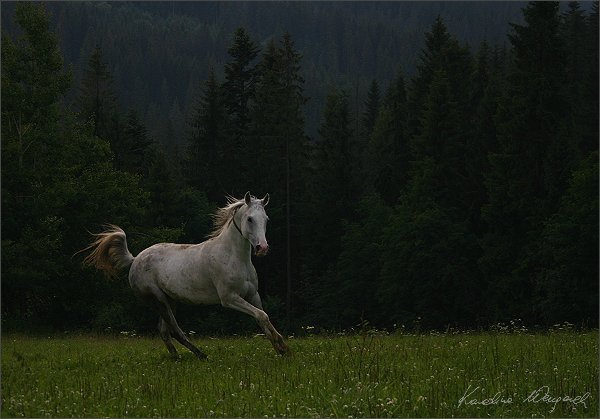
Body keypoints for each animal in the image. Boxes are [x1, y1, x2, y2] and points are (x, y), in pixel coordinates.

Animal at [82, 192, 288, 360]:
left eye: (266, 219)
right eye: (250, 219)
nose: (262, 248)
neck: (233, 257)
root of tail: (134, 260)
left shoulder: (253, 295)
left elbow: (263, 318)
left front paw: (281, 349)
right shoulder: (229, 298)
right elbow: (261, 315)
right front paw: (282, 346)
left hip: (170, 300)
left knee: (164, 331)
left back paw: (177, 357)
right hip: (158, 300)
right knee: (174, 330)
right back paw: (201, 355)